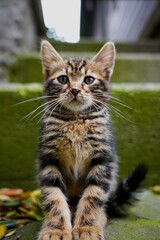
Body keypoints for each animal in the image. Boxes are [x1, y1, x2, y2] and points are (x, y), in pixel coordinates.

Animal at [37, 40, 147, 239]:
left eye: (88, 80)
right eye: (63, 79)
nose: (74, 90)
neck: (75, 120)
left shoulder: (104, 158)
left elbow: (93, 196)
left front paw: (87, 227)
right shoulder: (48, 159)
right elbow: (53, 197)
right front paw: (55, 229)